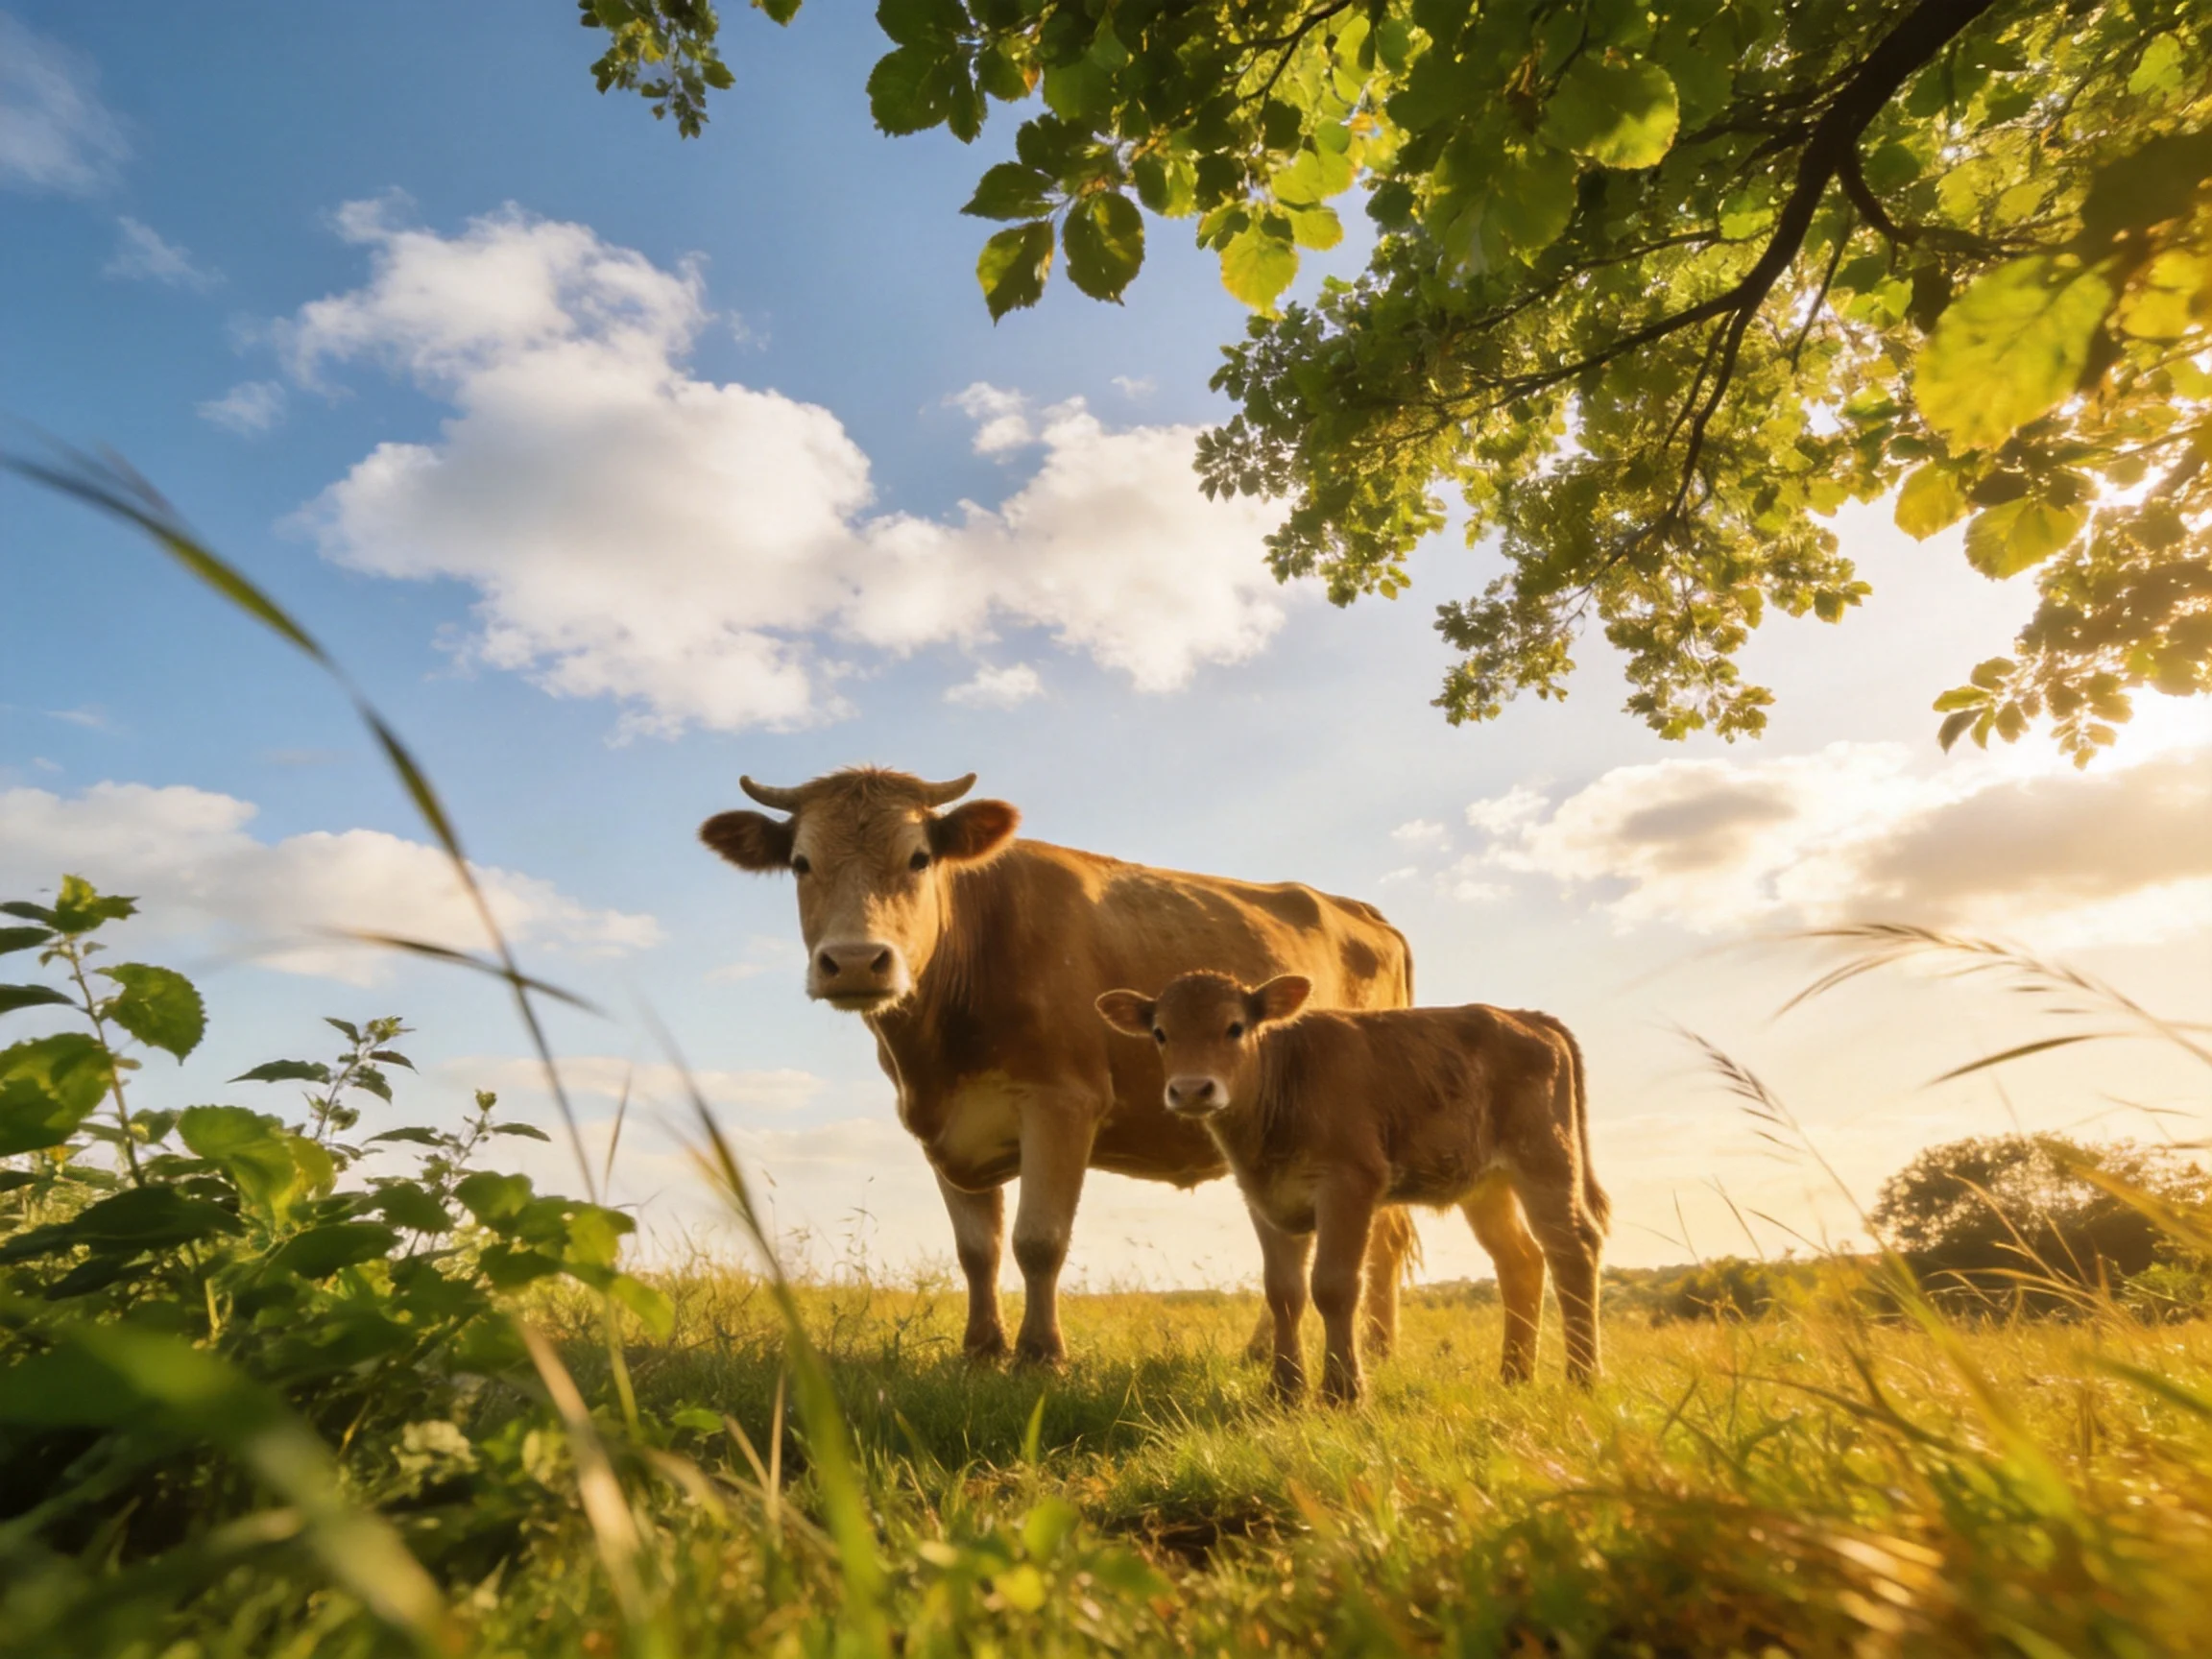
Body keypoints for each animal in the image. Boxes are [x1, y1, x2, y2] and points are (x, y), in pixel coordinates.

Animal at [699, 767, 1420, 1367]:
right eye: (800, 863)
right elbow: (977, 1248)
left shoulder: (1063, 1102)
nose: (854, 961)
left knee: (1380, 1239)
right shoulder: (940, 1124)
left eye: (918, 858)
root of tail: (1361, 910)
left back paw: (1379, 1349)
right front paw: (981, 1350)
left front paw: (1041, 1354)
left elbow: (1037, 1239)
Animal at [1096, 971, 1609, 1402]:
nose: (1191, 1090)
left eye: (1235, 1027)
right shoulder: (1264, 1198)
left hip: (1546, 1160)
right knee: (1520, 1259)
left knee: (1573, 1250)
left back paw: (1583, 1377)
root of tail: (1527, 1017)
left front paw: (1343, 1392)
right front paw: (1284, 1392)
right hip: (1486, 1185)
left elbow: (1334, 1285)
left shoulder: (1349, 1183)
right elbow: (1283, 1291)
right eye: (1161, 1033)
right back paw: (1514, 1376)